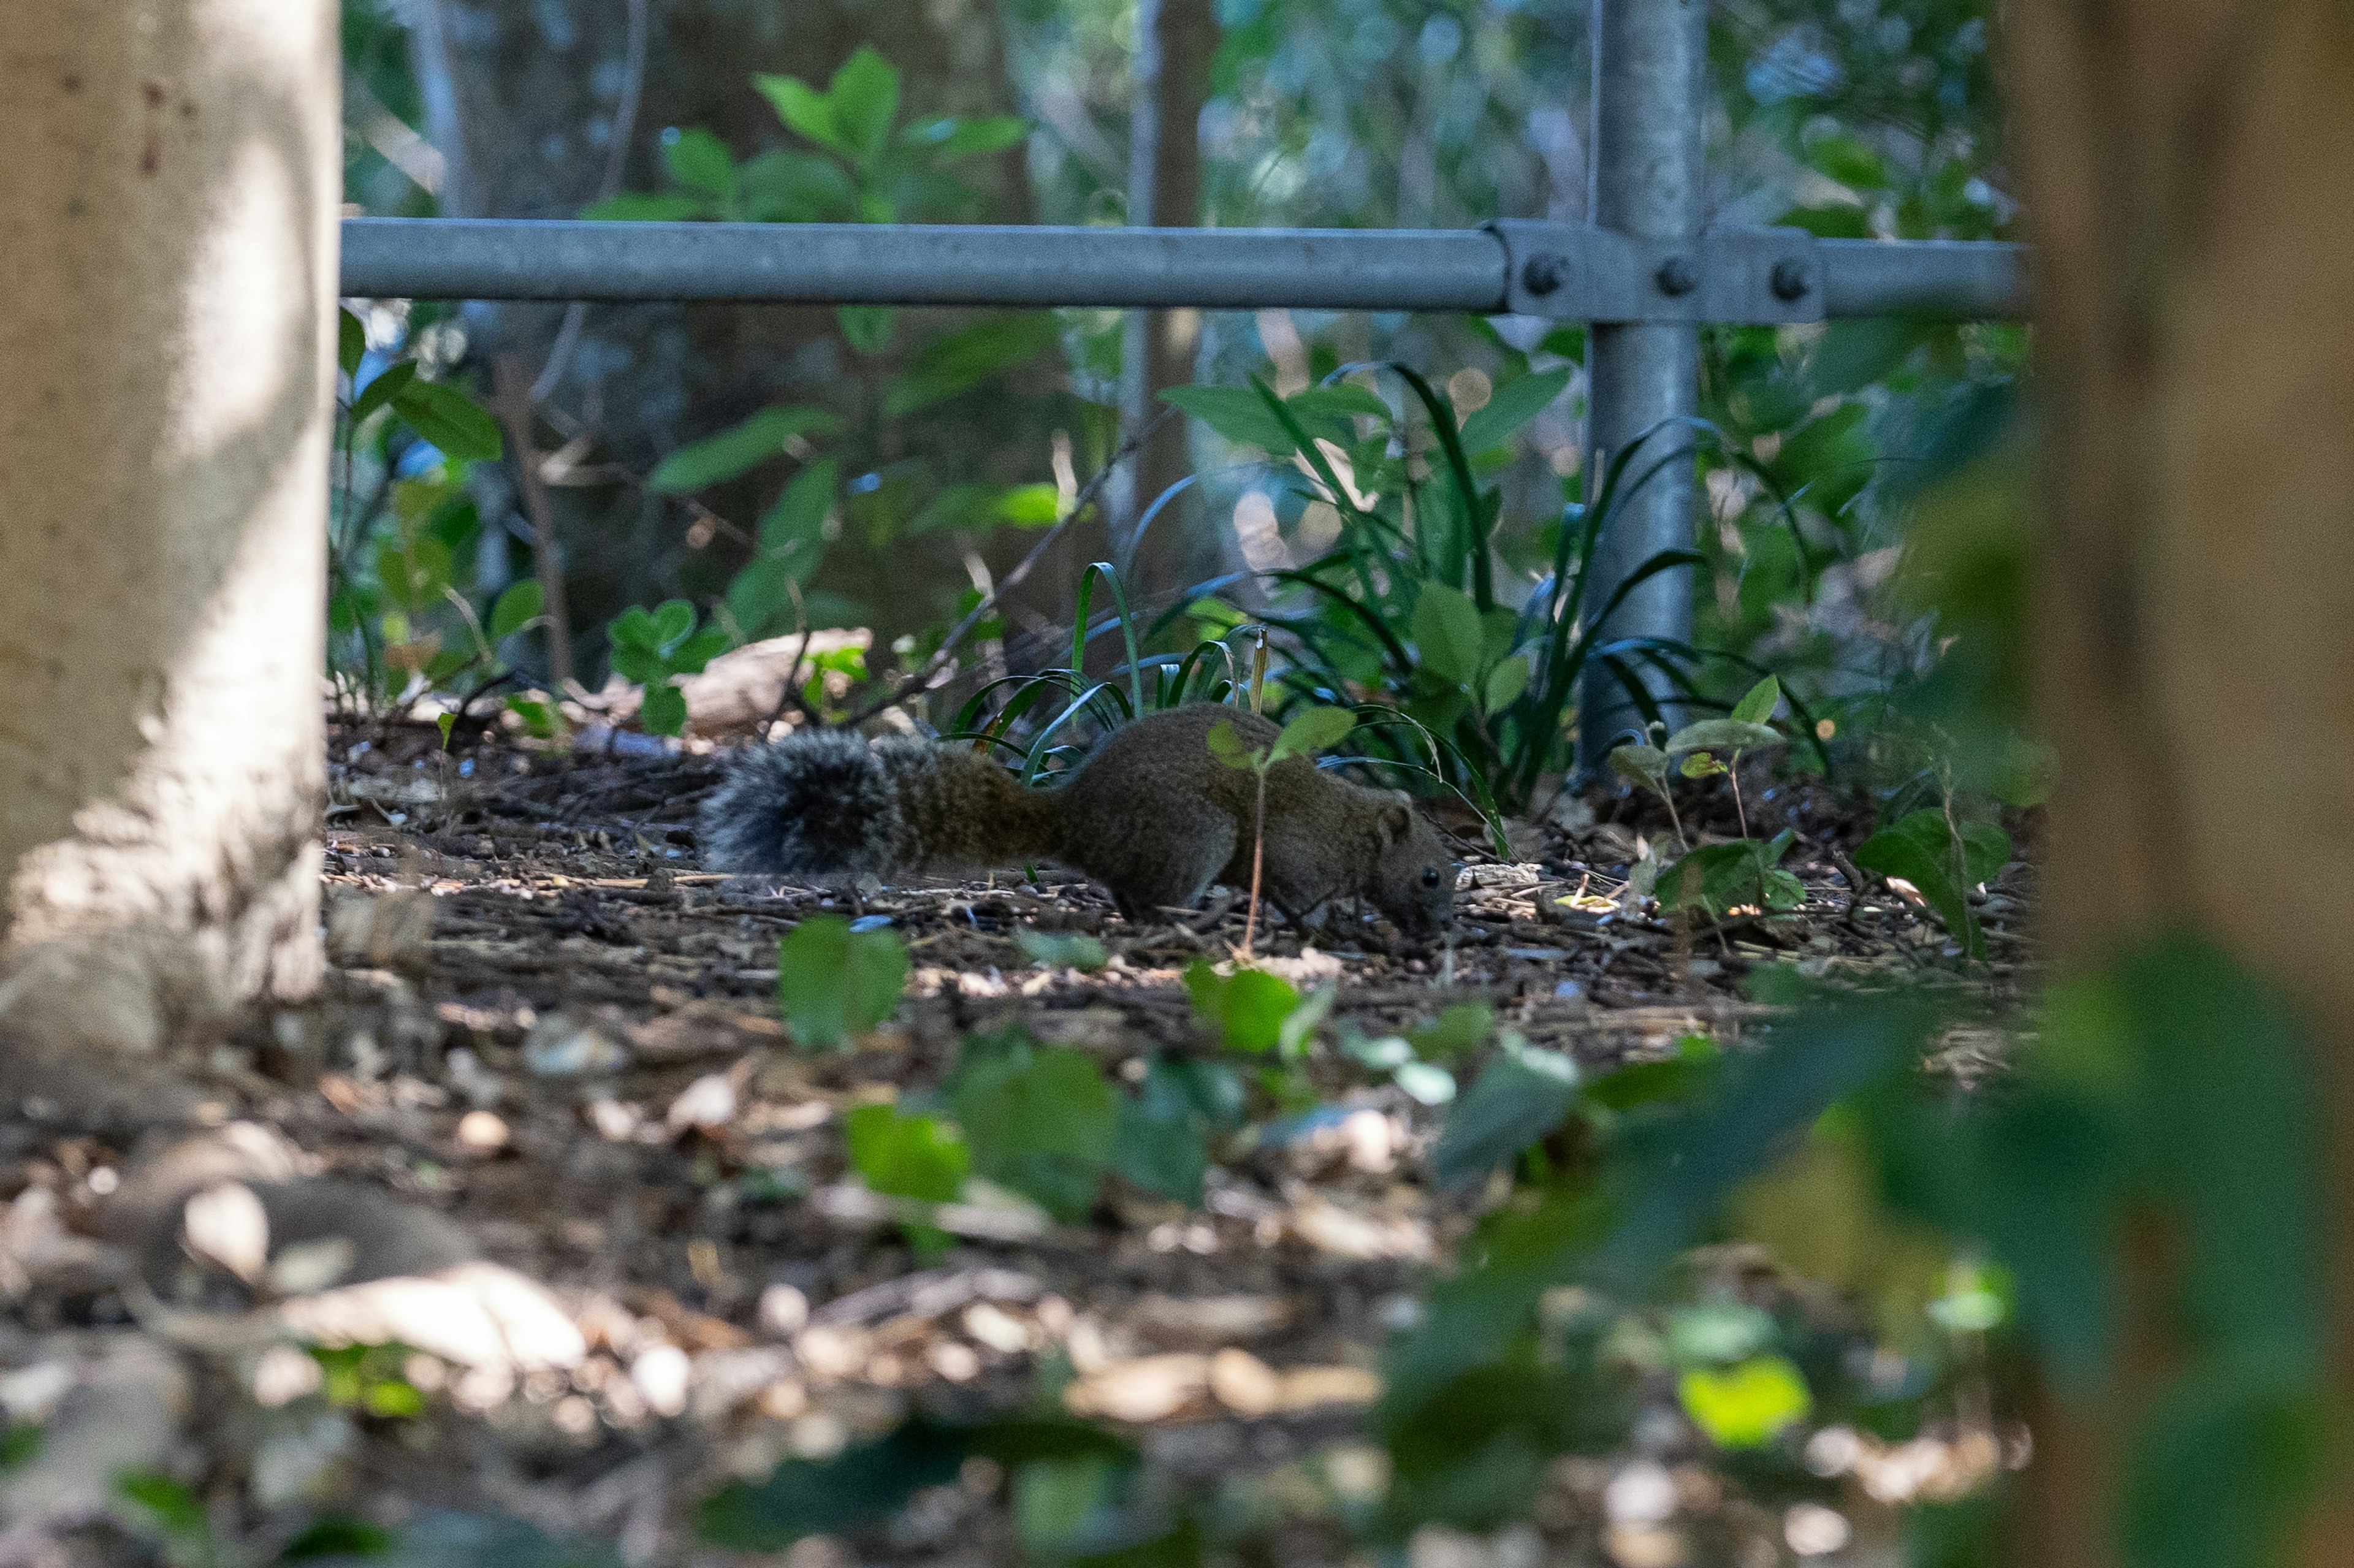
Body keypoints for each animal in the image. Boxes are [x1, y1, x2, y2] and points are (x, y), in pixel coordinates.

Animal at [701, 701, 1450, 932]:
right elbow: (1299, 897)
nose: (1445, 927)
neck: (1350, 827)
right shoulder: (1295, 854)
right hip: (1201, 835)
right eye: (1434, 876)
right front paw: (1329, 924)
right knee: (1150, 901)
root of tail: (1076, 821)